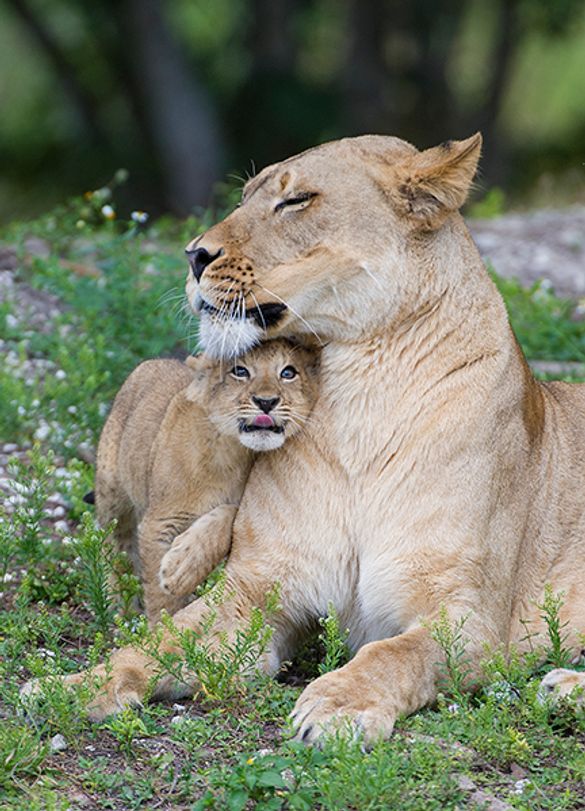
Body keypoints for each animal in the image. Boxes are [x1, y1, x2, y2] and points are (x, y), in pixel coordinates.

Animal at [93, 340, 319, 624]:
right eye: (240, 371)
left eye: (288, 373)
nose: (266, 402)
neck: (234, 452)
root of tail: (151, 362)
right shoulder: (160, 522)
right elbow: (160, 594)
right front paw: (161, 626)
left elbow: (228, 514)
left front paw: (184, 566)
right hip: (112, 494)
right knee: (114, 547)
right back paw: (119, 607)